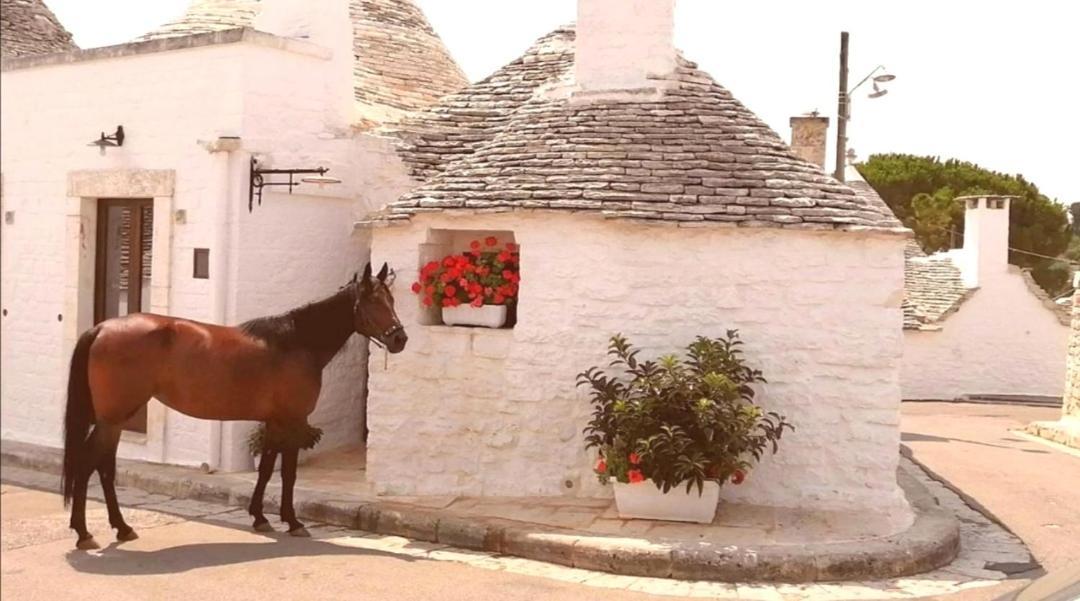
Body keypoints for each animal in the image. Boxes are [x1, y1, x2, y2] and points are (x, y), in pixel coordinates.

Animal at [64, 261, 408, 549]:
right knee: (89, 464)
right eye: (374, 301)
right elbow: (288, 474)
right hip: (113, 420)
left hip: (114, 420)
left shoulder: (274, 421)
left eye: (391, 300)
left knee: (104, 468)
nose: (400, 339)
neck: (296, 342)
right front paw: (293, 522)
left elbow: (266, 470)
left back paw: (121, 528)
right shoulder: (294, 421)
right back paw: (85, 533)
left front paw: (260, 517)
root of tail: (102, 328)